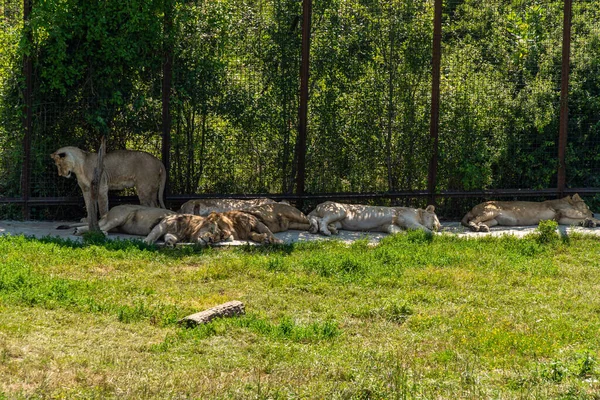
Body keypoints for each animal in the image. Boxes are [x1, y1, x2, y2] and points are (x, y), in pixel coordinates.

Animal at [310, 202, 440, 236]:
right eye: (436, 219)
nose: (438, 226)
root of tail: (319, 205)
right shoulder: (405, 217)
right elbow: (422, 228)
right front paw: (438, 234)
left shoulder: (389, 224)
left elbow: (396, 230)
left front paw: (403, 235)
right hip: (340, 210)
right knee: (322, 220)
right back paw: (326, 231)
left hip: (339, 222)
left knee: (316, 219)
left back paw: (327, 229)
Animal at [462, 194, 596, 231]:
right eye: (587, 206)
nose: (593, 213)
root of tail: (471, 209)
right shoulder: (561, 210)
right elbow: (580, 215)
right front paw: (593, 220)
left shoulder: (561, 217)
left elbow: (576, 220)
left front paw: (588, 222)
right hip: (491, 210)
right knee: (472, 220)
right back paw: (475, 227)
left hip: (494, 220)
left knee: (481, 222)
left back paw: (483, 228)